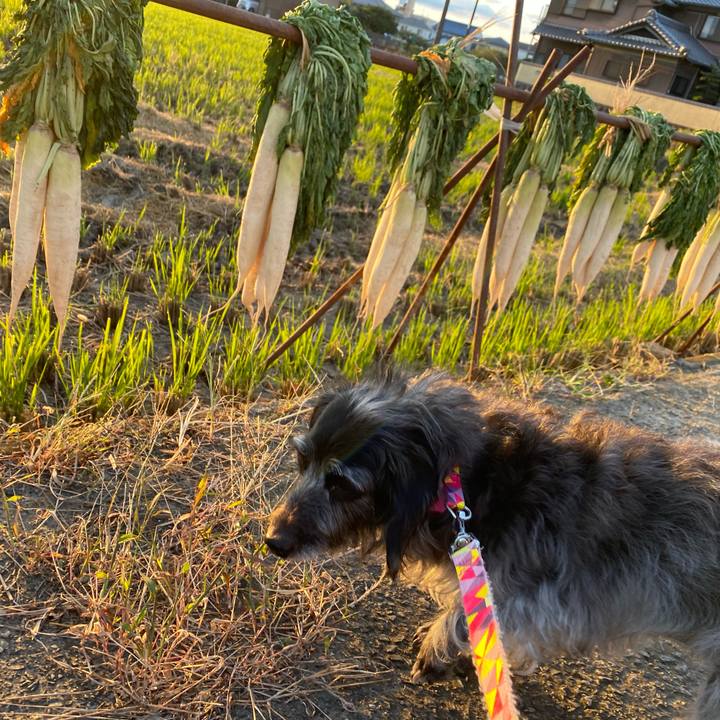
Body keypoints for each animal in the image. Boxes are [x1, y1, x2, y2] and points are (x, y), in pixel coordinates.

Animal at [265, 373, 720, 719]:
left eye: (343, 486)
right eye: (302, 461)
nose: (273, 541)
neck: (467, 476)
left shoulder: (534, 595)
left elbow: (472, 618)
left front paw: (439, 648)